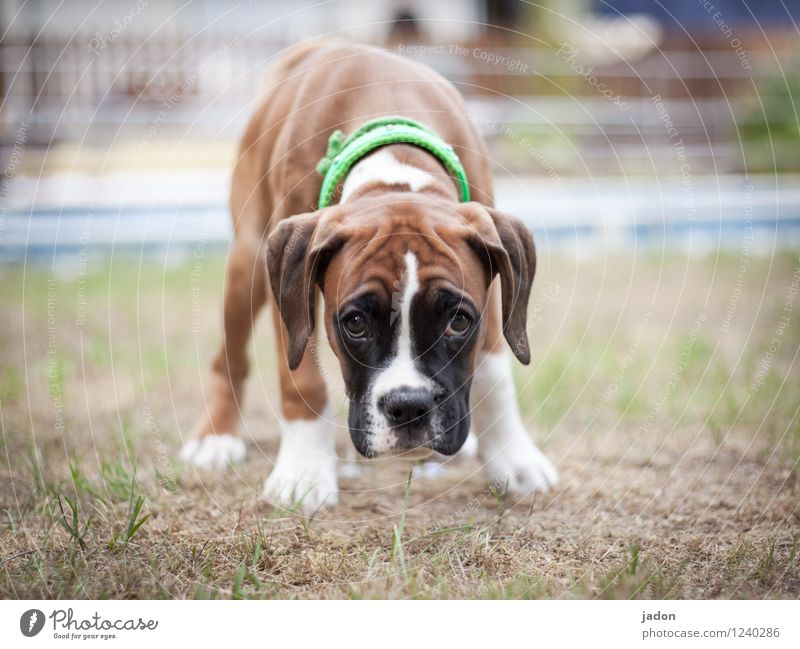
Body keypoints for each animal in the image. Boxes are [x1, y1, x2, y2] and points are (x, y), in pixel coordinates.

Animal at [180, 40, 556, 512]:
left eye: (459, 321)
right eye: (356, 323)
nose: (409, 406)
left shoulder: (492, 282)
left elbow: (494, 373)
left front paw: (513, 457)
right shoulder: (292, 291)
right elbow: (301, 381)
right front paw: (304, 472)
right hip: (248, 262)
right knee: (229, 355)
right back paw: (216, 437)